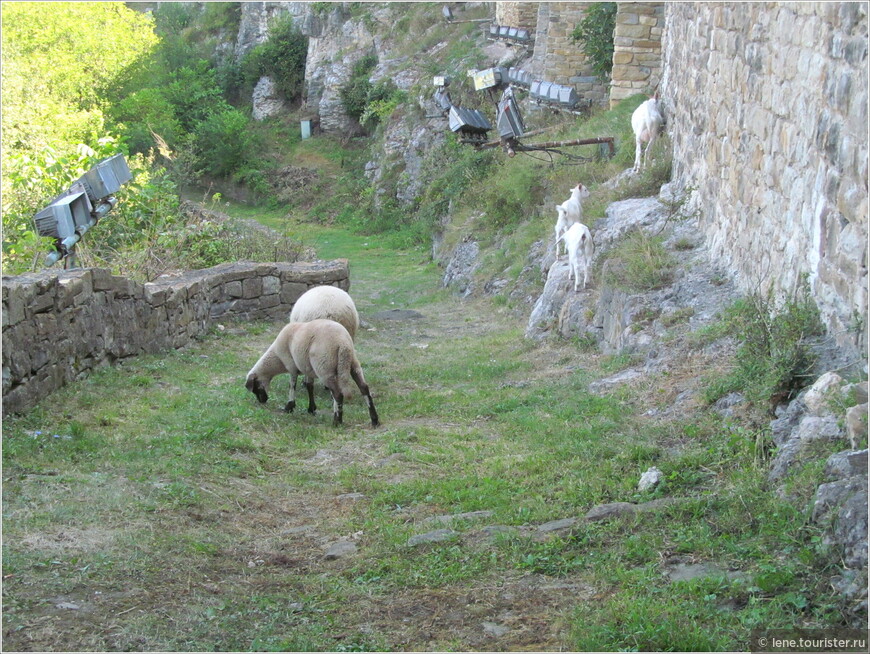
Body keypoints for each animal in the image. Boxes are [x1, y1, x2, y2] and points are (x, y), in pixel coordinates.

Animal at [247, 320, 380, 430]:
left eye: (255, 387)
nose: (263, 401)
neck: (277, 359)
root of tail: (343, 343)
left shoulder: (292, 366)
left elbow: (292, 385)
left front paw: (289, 406)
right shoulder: (307, 369)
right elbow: (309, 387)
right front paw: (311, 408)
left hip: (325, 367)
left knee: (337, 393)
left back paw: (337, 421)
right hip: (352, 364)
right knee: (364, 388)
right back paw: (374, 420)